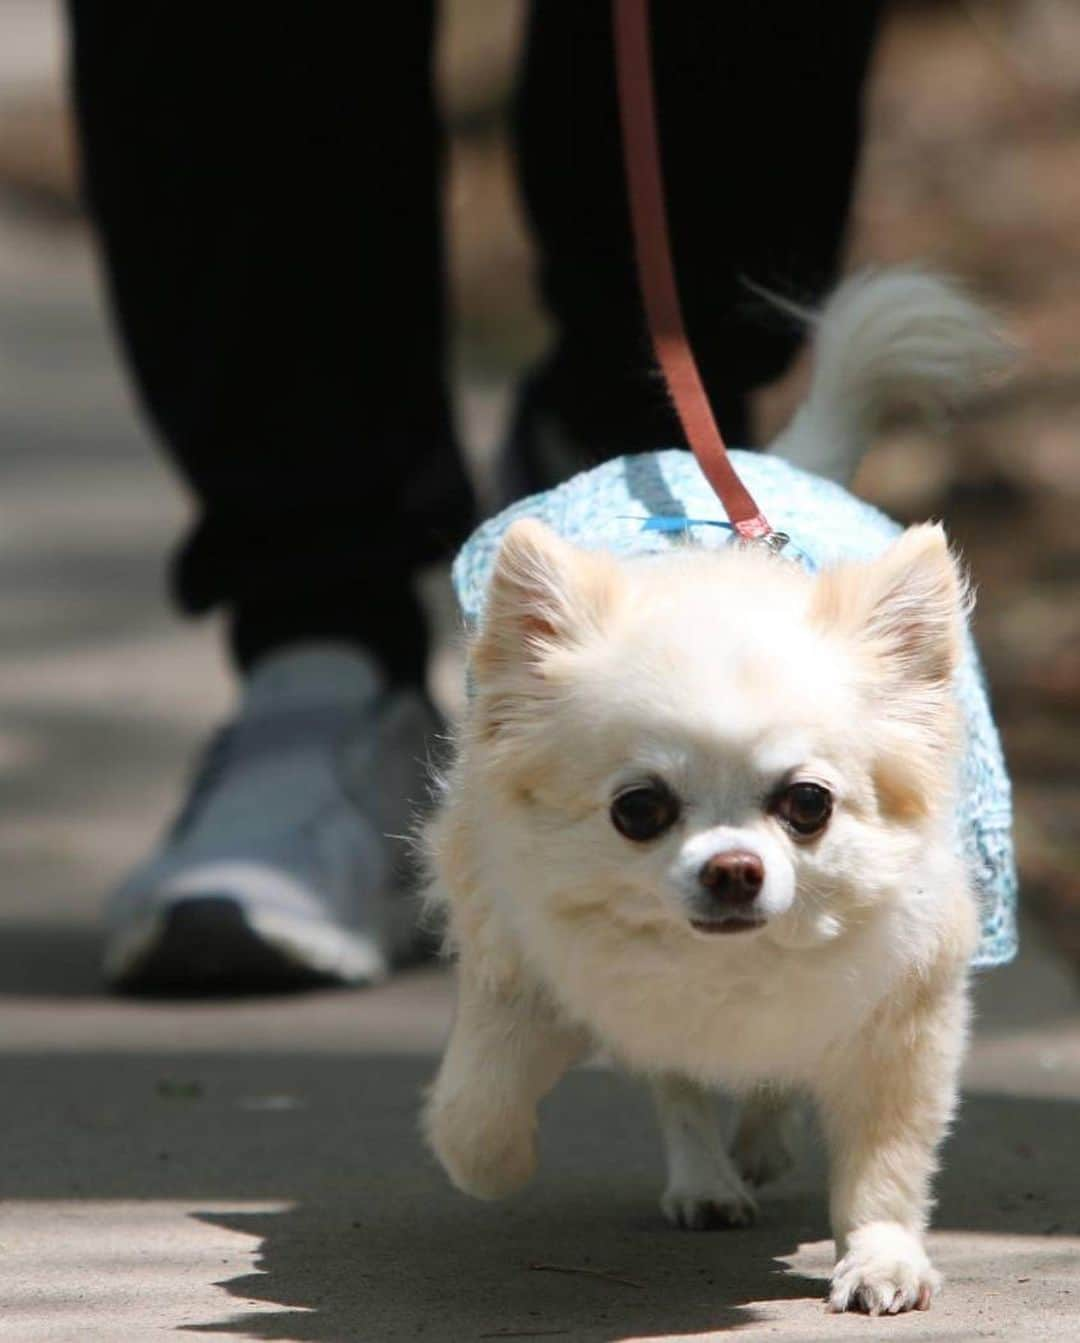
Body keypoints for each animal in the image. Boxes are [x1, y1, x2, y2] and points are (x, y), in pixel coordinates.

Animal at [421, 269, 1004, 1310]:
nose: (735, 869)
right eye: (638, 809)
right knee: (681, 1088)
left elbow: (887, 1158)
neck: (726, 970)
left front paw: (882, 1255)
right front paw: (492, 1157)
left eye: (808, 804)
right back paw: (705, 1179)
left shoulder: (907, 1020)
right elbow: (479, 1106)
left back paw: (758, 1148)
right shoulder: (519, 969)